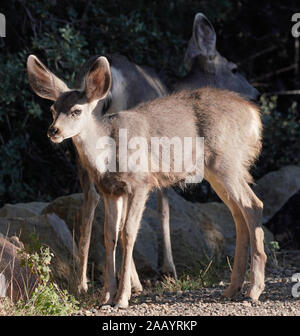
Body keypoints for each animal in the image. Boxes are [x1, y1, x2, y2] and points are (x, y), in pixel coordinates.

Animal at [25, 54, 264, 308]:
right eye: (52, 109)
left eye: (76, 111)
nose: (53, 131)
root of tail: (254, 116)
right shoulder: (111, 191)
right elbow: (109, 235)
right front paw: (107, 296)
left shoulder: (141, 182)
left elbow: (129, 232)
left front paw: (122, 298)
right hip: (217, 170)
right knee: (239, 213)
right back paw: (232, 289)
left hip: (227, 161)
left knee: (253, 205)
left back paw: (254, 290)